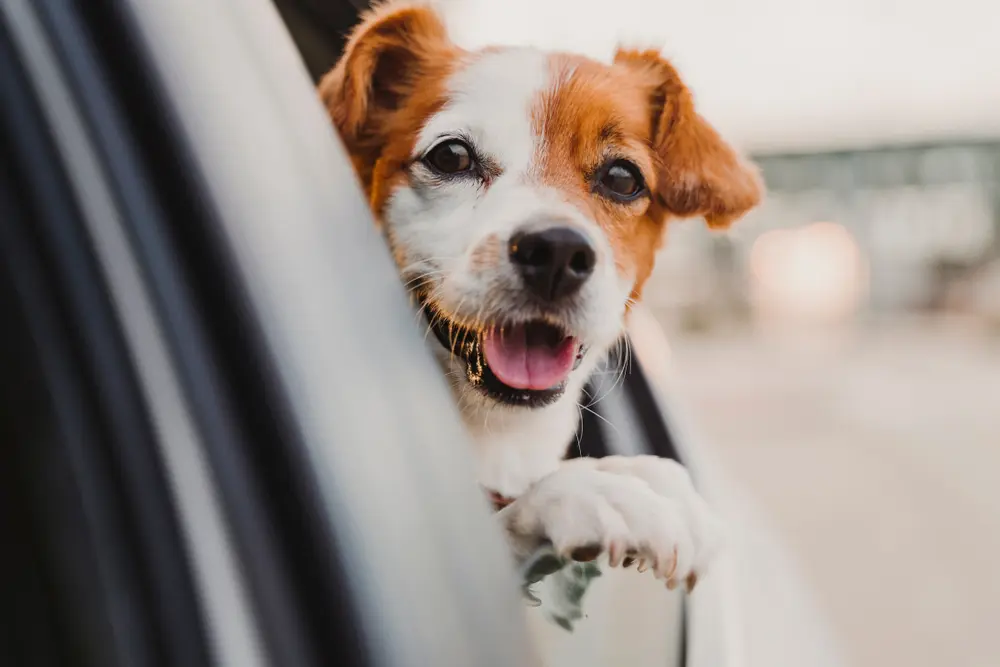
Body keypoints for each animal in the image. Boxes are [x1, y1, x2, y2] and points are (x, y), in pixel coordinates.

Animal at [318, 0, 756, 596]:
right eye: (451, 155)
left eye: (623, 178)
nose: (556, 251)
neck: (498, 435)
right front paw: (594, 492)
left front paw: (648, 476)